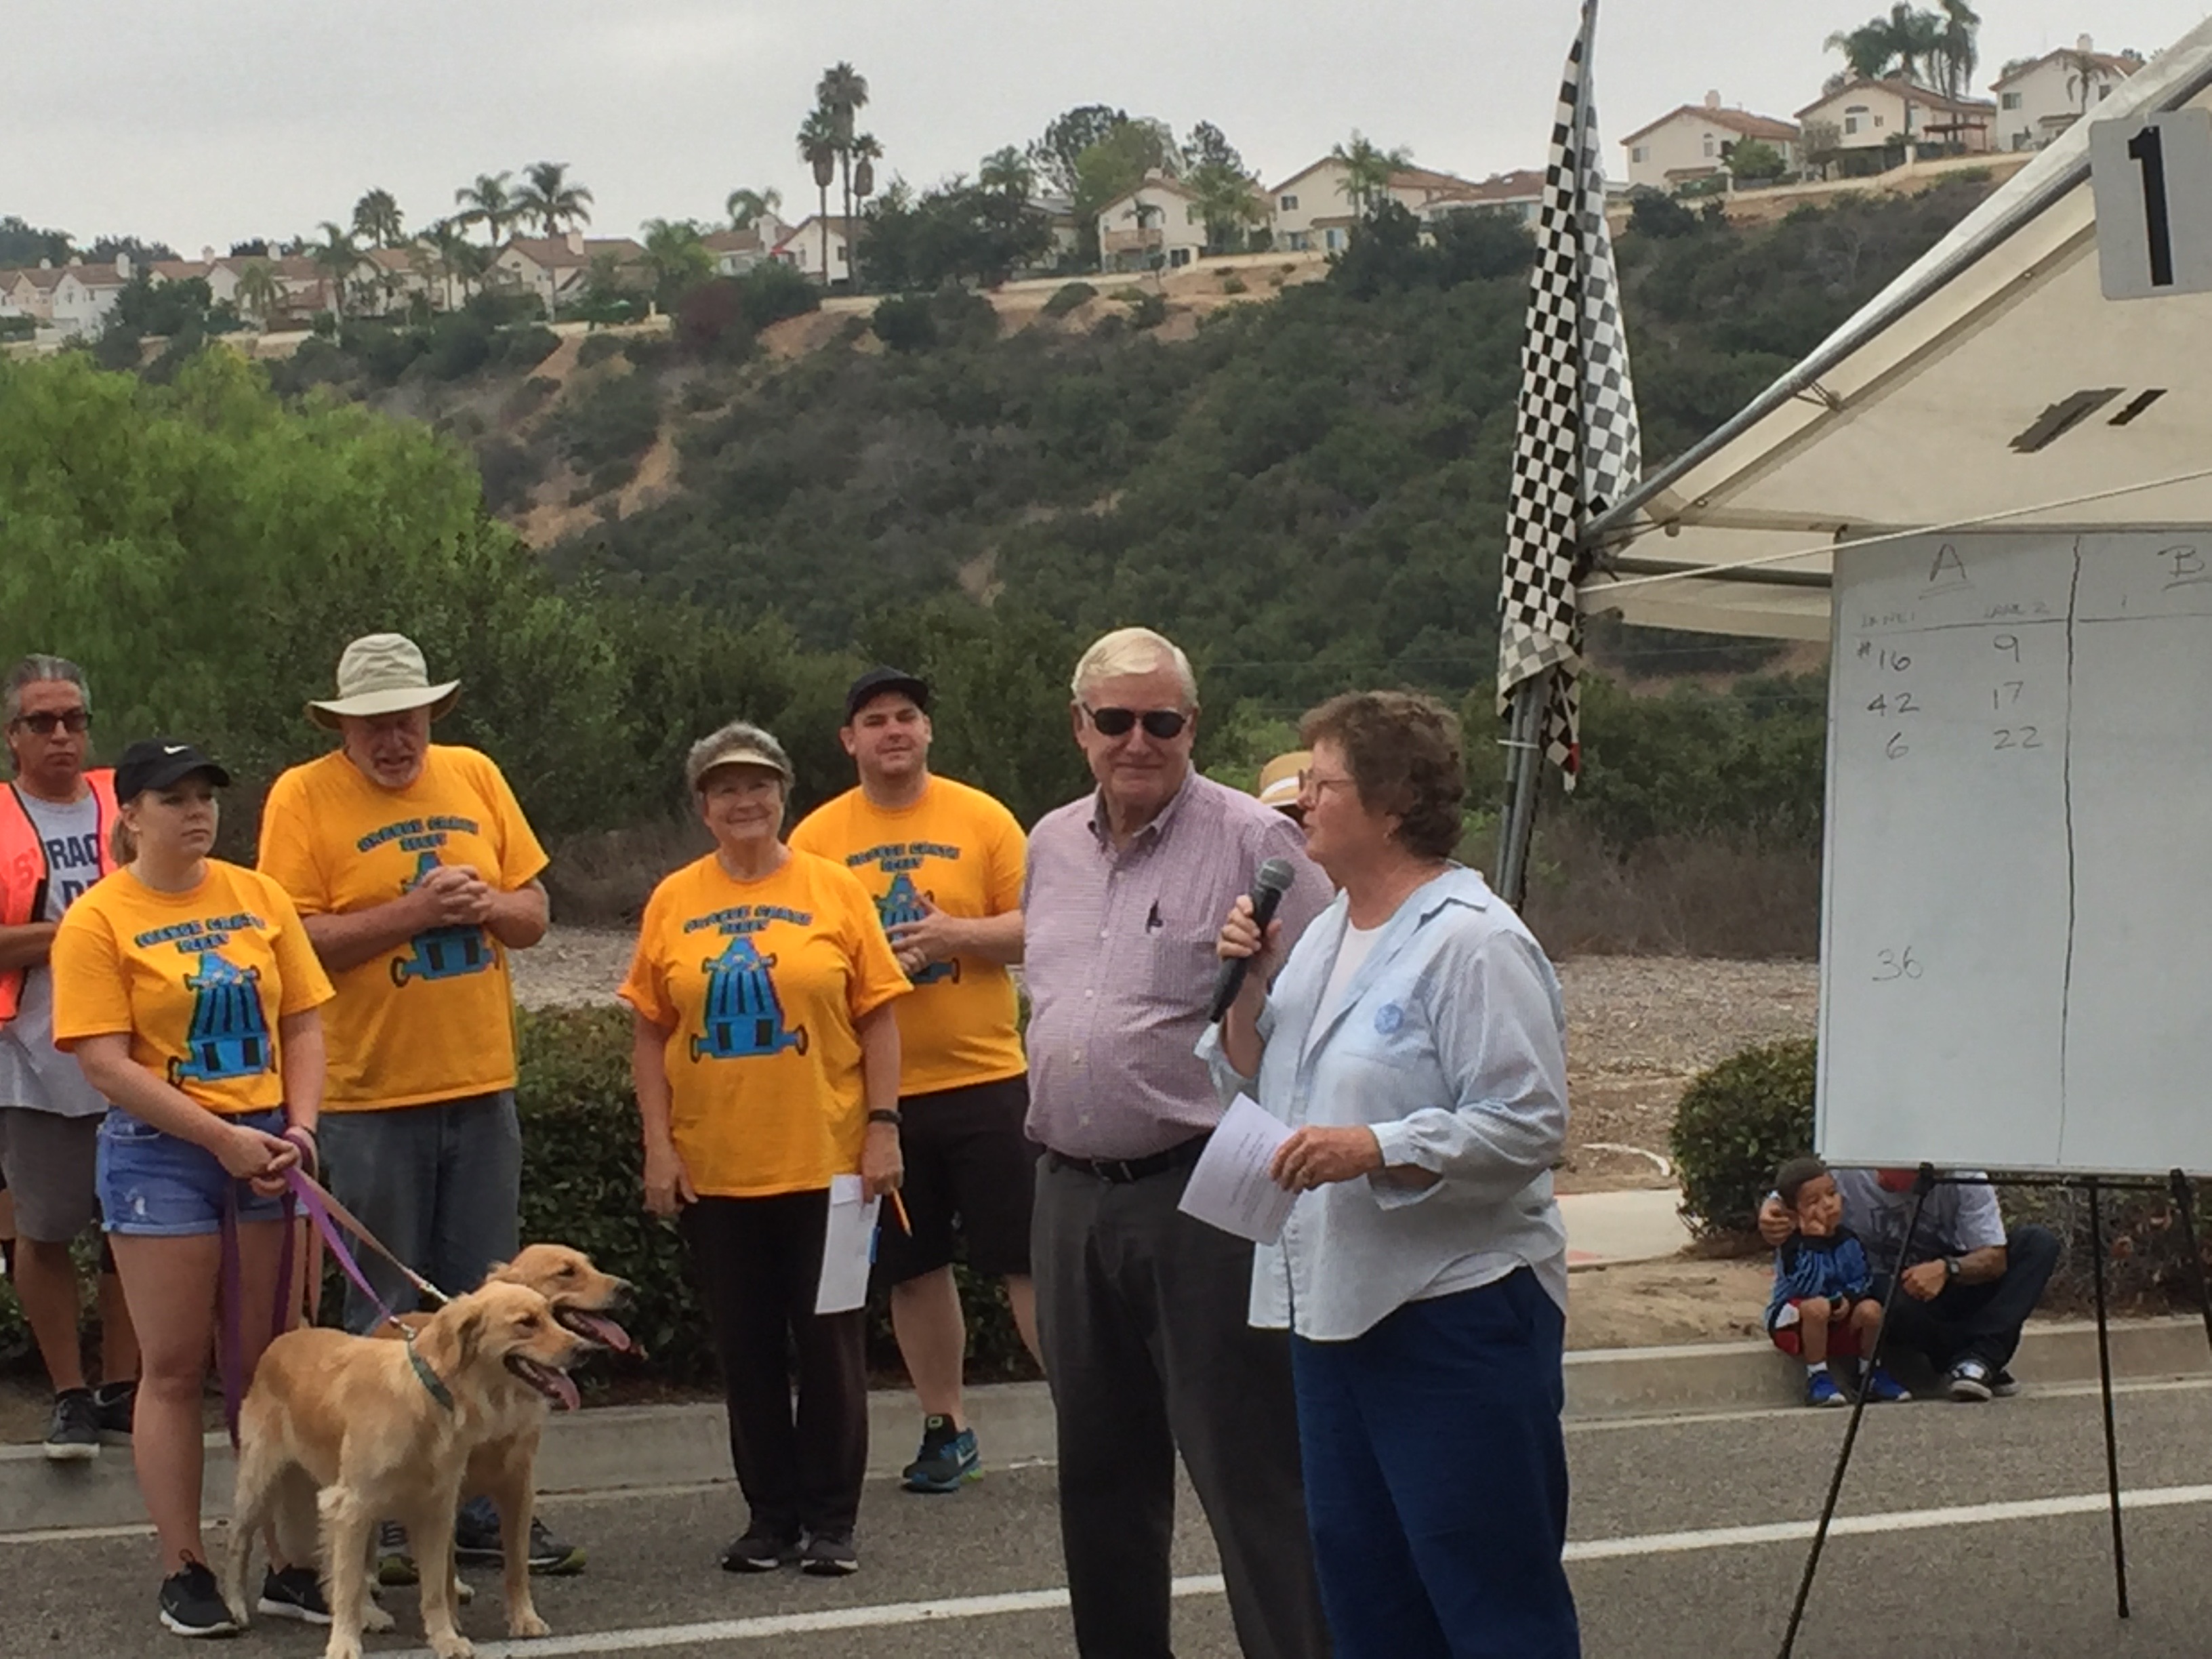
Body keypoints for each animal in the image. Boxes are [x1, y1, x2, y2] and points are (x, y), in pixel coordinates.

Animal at [225, 1281, 587, 1659]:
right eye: (526, 1323)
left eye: (551, 1314)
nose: (585, 1350)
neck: (429, 1393)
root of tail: (286, 1339)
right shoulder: (352, 1505)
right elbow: (348, 1586)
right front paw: (344, 1643)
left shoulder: (437, 1509)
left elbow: (435, 1588)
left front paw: (445, 1638)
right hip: (261, 1482)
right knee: (240, 1540)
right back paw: (235, 1607)